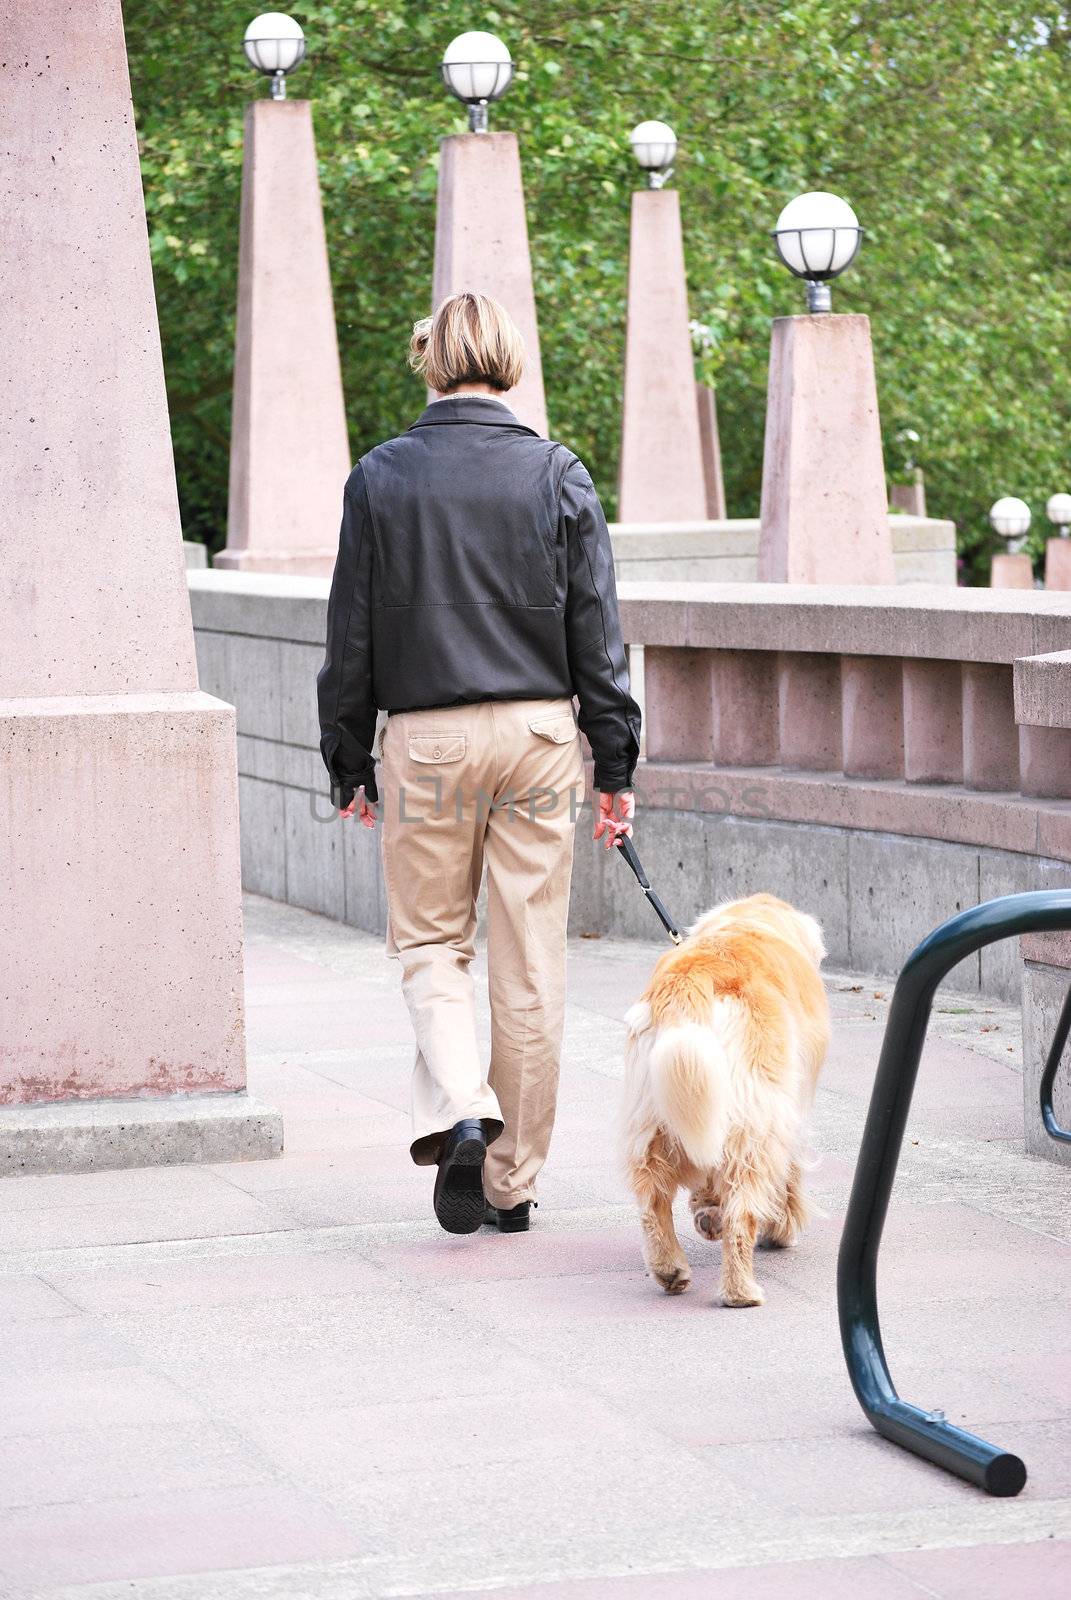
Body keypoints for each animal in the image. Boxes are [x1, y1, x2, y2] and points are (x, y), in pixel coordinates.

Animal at [617, 896, 826, 1305]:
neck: (752, 920)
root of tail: (692, 978)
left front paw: (704, 1208)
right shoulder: (791, 1106)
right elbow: (789, 1174)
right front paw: (782, 1227)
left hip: (655, 1116)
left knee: (652, 1198)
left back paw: (670, 1268)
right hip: (758, 1120)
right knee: (742, 1209)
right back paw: (740, 1290)